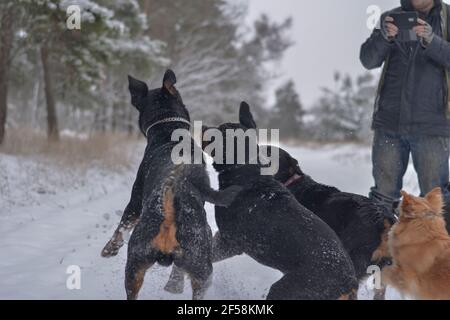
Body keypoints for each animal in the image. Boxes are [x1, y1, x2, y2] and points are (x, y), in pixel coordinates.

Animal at [168, 102, 358, 300]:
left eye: (220, 130)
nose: (203, 126)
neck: (245, 173)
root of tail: (350, 285)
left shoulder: (230, 241)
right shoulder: (223, 236)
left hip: (287, 289)